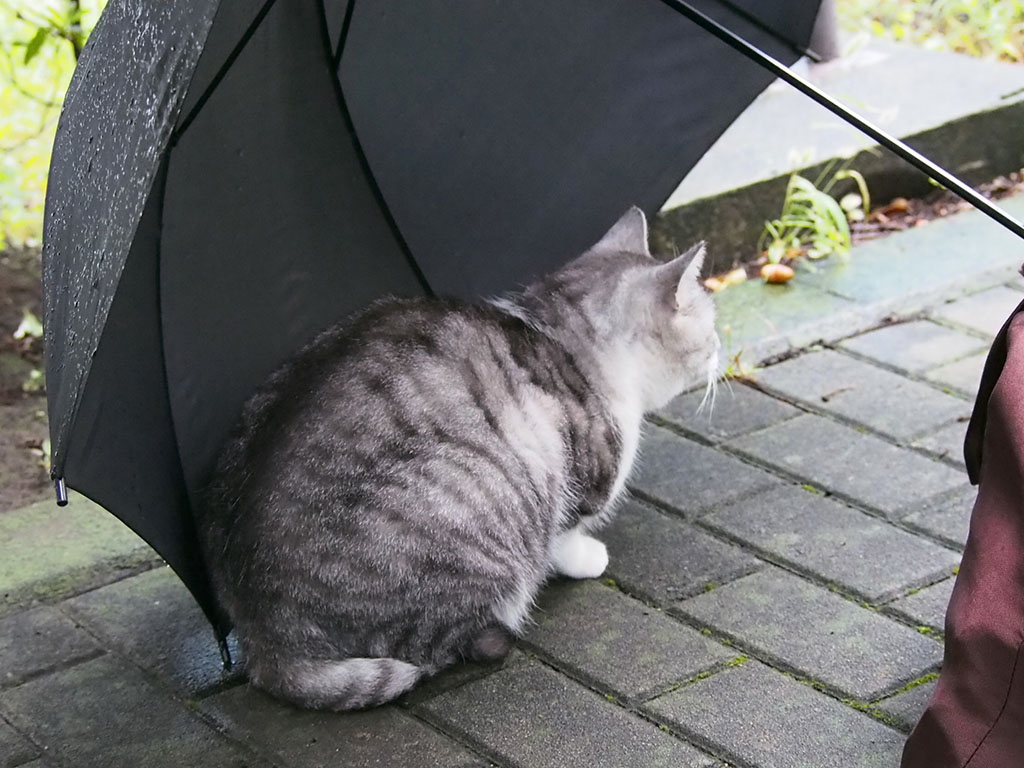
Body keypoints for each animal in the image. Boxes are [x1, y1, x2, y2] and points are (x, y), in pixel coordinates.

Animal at [195, 207, 716, 712]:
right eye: (709, 329)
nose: (720, 350)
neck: (566, 335)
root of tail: (263, 638)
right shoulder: (573, 475)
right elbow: (564, 533)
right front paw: (587, 557)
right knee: (449, 642)